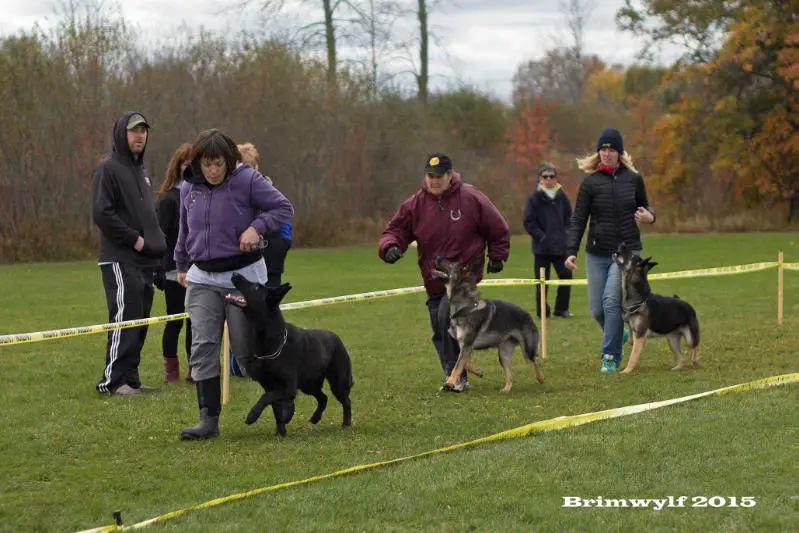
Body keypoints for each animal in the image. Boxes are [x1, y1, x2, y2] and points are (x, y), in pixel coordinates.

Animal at [225, 274, 350, 436]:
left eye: (256, 287)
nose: (234, 274)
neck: (272, 343)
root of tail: (336, 338)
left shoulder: (287, 388)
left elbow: (266, 398)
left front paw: (252, 416)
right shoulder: (270, 386)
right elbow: (275, 408)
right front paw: (281, 431)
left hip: (337, 383)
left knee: (346, 401)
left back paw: (346, 423)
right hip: (308, 385)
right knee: (323, 398)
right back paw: (315, 418)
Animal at [612, 244, 700, 372]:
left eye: (632, 255)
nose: (622, 244)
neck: (639, 299)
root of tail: (686, 304)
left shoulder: (640, 335)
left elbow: (633, 356)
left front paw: (627, 371)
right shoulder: (636, 332)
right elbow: (630, 339)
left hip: (689, 337)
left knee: (696, 345)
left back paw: (695, 359)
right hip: (672, 341)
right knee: (681, 358)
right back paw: (678, 367)